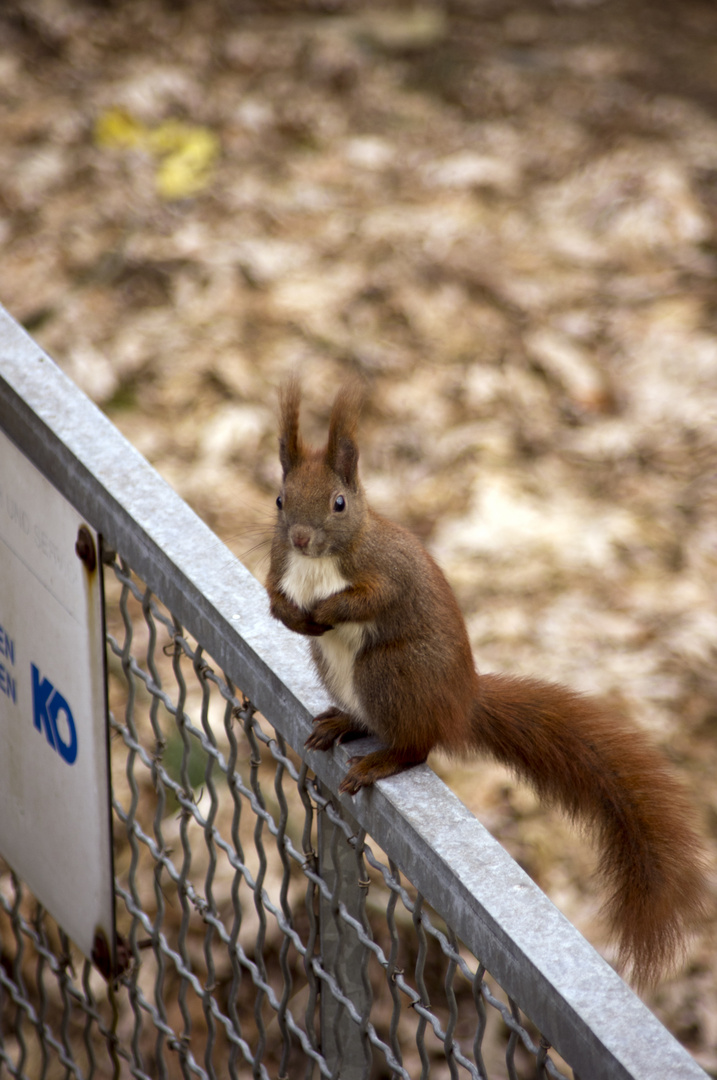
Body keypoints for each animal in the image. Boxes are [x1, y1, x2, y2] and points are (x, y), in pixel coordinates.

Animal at [265, 380, 708, 989]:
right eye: (280, 500)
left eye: (339, 503)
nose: (304, 539)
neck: (320, 563)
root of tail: (461, 703)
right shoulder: (278, 561)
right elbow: (273, 593)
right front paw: (291, 613)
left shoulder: (386, 572)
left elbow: (373, 598)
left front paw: (328, 608)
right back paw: (342, 722)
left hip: (391, 672)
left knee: (416, 746)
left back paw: (382, 759)